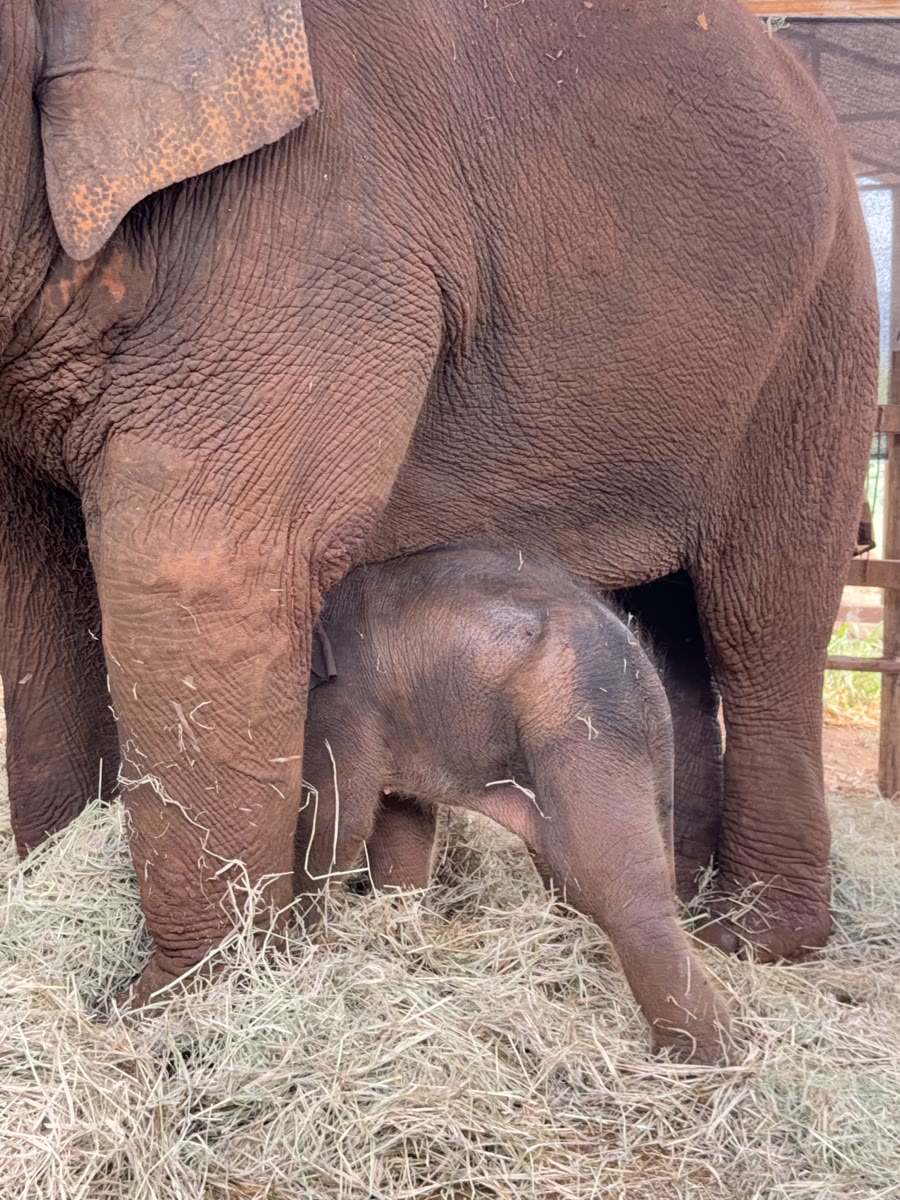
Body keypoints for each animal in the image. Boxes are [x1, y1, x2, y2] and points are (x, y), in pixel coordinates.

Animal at [0, 0, 878, 1004]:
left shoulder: (317, 223)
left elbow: (207, 563)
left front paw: (181, 1007)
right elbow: (37, 579)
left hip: (821, 344)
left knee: (762, 620)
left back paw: (758, 942)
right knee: (675, 627)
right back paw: (690, 896)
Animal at [297, 543, 732, 1063]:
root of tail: (634, 657)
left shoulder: (344, 701)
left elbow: (335, 818)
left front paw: (300, 945)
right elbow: (402, 826)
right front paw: (400, 938)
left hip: (579, 723)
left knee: (609, 883)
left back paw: (707, 1062)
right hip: (638, 742)